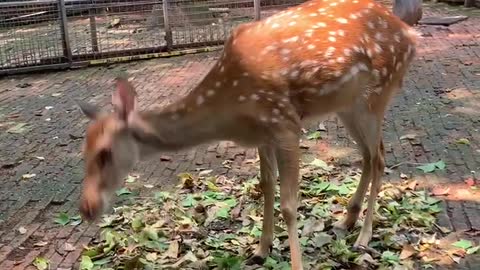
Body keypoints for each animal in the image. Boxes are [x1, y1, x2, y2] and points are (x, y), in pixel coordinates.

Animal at [77, 0, 418, 268]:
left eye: (104, 153)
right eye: (84, 151)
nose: (87, 208)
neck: (232, 113)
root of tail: (410, 33)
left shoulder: (285, 124)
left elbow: (289, 204)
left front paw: (292, 261)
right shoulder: (263, 135)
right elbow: (266, 187)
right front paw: (261, 249)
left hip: (377, 94)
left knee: (379, 157)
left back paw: (363, 236)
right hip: (346, 105)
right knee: (368, 154)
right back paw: (346, 220)